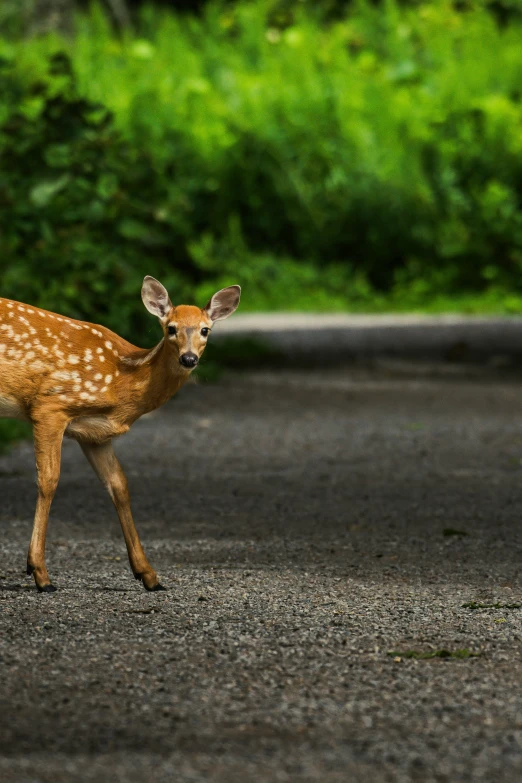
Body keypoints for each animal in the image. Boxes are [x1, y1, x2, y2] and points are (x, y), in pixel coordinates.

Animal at [0, 278, 240, 592]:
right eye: (170, 328)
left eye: (205, 330)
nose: (188, 358)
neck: (121, 380)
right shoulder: (50, 405)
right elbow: (48, 480)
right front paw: (40, 573)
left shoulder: (95, 434)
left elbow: (119, 486)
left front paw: (148, 575)